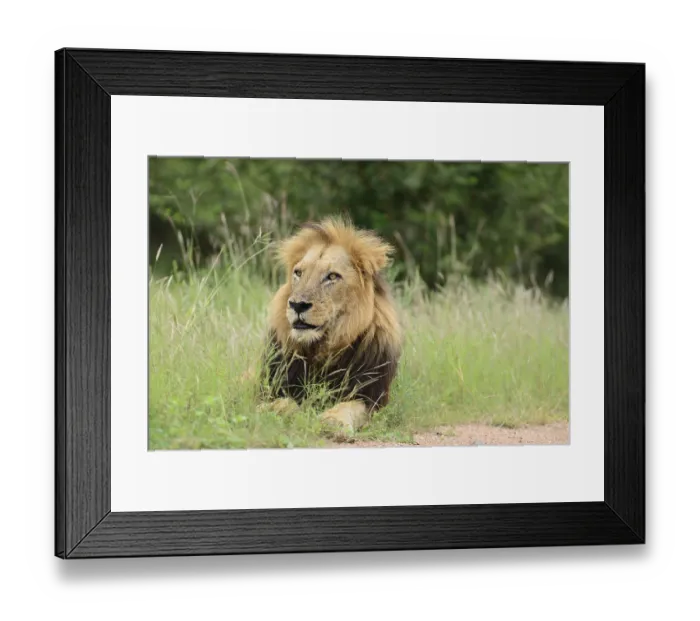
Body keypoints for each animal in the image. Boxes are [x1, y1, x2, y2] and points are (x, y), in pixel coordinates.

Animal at [259, 217, 402, 433]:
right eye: (298, 273)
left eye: (332, 276)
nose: (297, 305)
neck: (321, 349)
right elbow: (283, 402)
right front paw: (272, 411)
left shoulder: (370, 397)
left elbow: (349, 406)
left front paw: (332, 420)